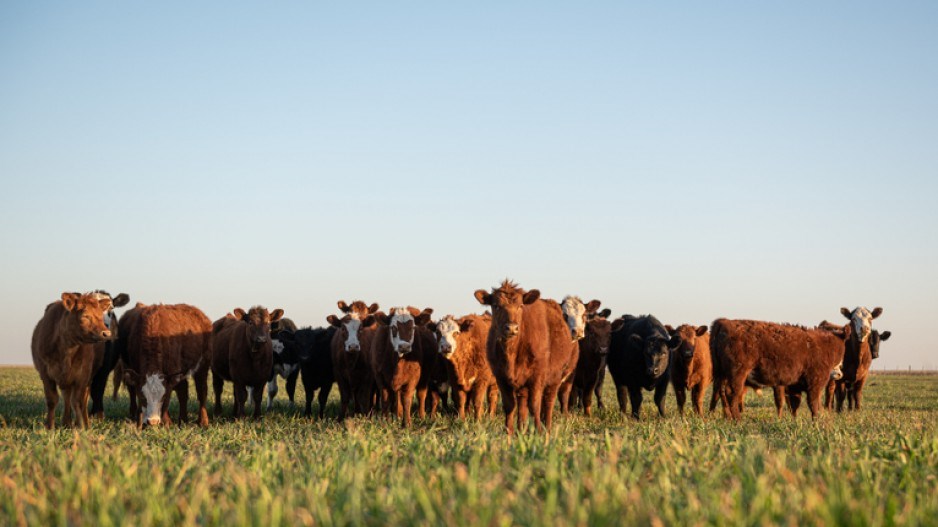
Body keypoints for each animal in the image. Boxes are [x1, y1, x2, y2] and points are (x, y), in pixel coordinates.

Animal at [31, 292, 114, 428]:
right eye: (85, 315)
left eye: (100, 316)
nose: (106, 333)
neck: (67, 348)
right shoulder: (45, 373)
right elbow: (52, 400)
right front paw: (50, 426)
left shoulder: (82, 374)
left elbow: (78, 401)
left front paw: (81, 426)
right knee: (67, 397)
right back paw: (66, 422)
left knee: (81, 400)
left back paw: (84, 423)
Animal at [476, 282, 576, 436]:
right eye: (496, 306)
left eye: (520, 306)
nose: (512, 328)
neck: (511, 353)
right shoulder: (501, 377)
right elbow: (509, 405)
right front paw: (509, 432)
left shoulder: (537, 376)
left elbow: (534, 405)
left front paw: (539, 432)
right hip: (523, 384)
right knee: (522, 403)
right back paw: (521, 429)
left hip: (554, 378)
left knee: (548, 402)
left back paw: (547, 428)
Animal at [708, 318, 848, 420]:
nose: (840, 372)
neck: (823, 345)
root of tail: (724, 322)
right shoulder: (815, 383)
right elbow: (814, 404)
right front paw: (817, 422)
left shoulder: (793, 386)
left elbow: (794, 405)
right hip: (737, 373)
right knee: (731, 393)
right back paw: (737, 420)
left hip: (722, 375)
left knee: (720, 393)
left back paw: (727, 417)